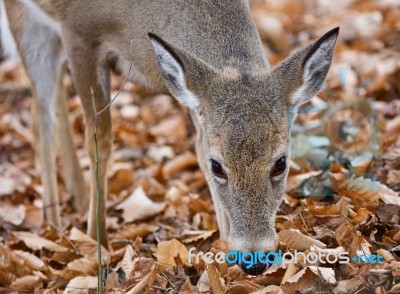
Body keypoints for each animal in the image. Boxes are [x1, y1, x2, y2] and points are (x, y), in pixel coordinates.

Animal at [3, 0, 338, 276]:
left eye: (281, 162)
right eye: (219, 167)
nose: (254, 260)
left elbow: (198, 146)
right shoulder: (77, 31)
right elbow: (100, 138)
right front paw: (97, 243)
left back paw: (76, 200)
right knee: (41, 118)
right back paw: (54, 225)